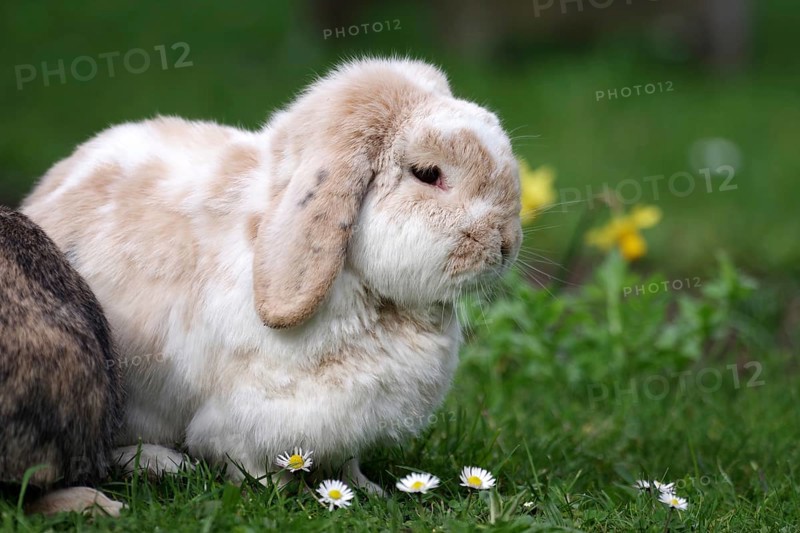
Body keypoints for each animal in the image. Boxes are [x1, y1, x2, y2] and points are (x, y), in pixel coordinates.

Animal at [20, 57, 522, 492]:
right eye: (427, 173)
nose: (506, 244)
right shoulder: (246, 416)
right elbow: (251, 460)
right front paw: (277, 491)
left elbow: (348, 461)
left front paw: (367, 489)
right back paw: (164, 464)